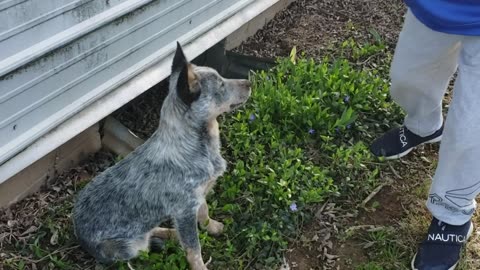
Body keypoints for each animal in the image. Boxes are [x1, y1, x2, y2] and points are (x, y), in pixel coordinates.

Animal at [72, 43, 251, 268]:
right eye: (221, 85)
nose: (250, 82)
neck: (195, 146)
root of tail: (78, 234)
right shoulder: (184, 210)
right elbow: (193, 248)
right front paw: (199, 265)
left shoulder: (198, 196)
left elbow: (204, 212)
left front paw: (211, 227)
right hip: (129, 247)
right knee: (144, 244)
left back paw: (172, 234)